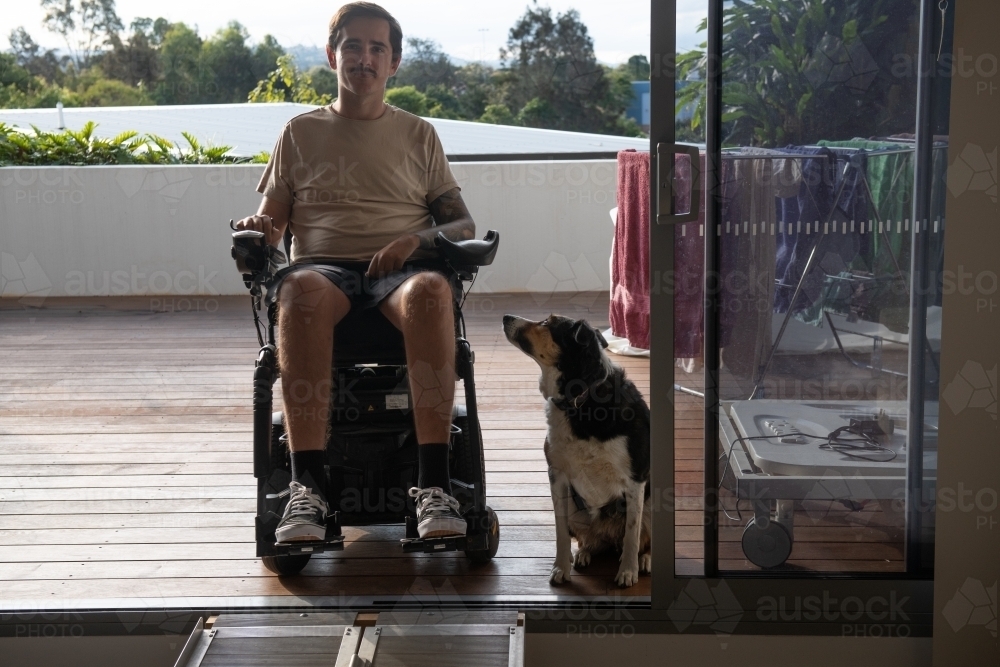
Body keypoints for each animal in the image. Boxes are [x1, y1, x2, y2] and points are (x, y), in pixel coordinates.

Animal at [504, 316, 652, 588]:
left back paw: (644, 559)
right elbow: (561, 532)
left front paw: (628, 571)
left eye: (546, 323)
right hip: (577, 509)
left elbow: (632, 533)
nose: (506, 317)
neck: (579, 400)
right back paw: (584, 553)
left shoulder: (635, 479)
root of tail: (608, 537)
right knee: (589, 541)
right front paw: (561, 567)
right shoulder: (557, 476)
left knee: (641, 540)